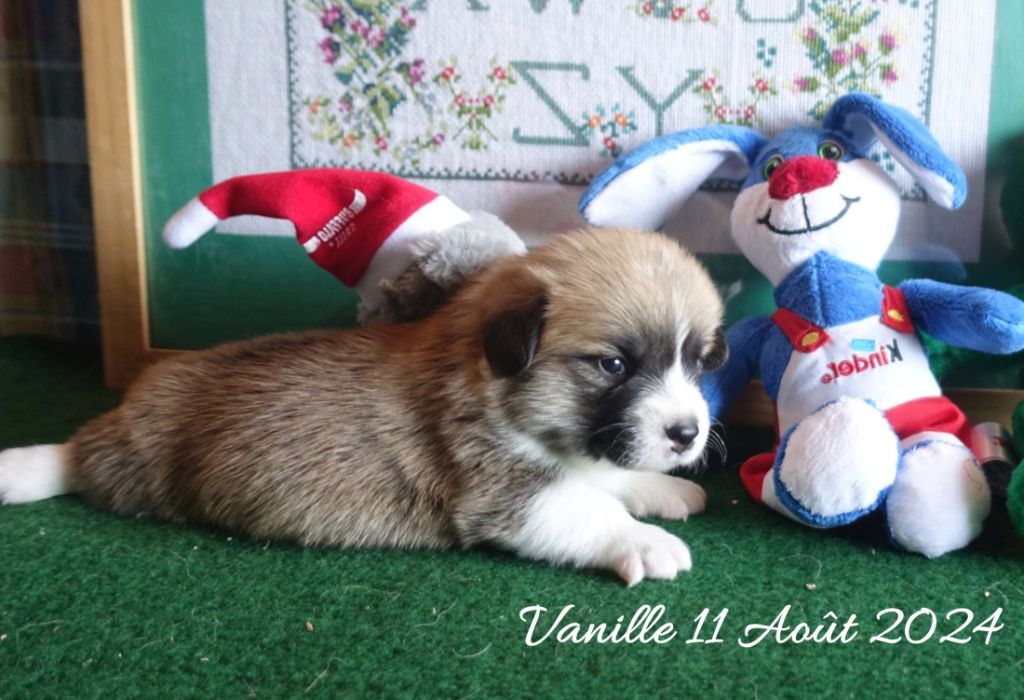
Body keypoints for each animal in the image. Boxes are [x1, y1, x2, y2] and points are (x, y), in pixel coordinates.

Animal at [0, 228, 726, 585]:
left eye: (697, 360)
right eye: (614, 365)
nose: (688, 434)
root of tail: (137, 399)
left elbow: (608, 476)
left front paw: (662, 489)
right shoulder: (506, 494)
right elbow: (588, 508)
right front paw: (645, 541)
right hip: (136, 461)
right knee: (81, 458)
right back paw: (28, 468)